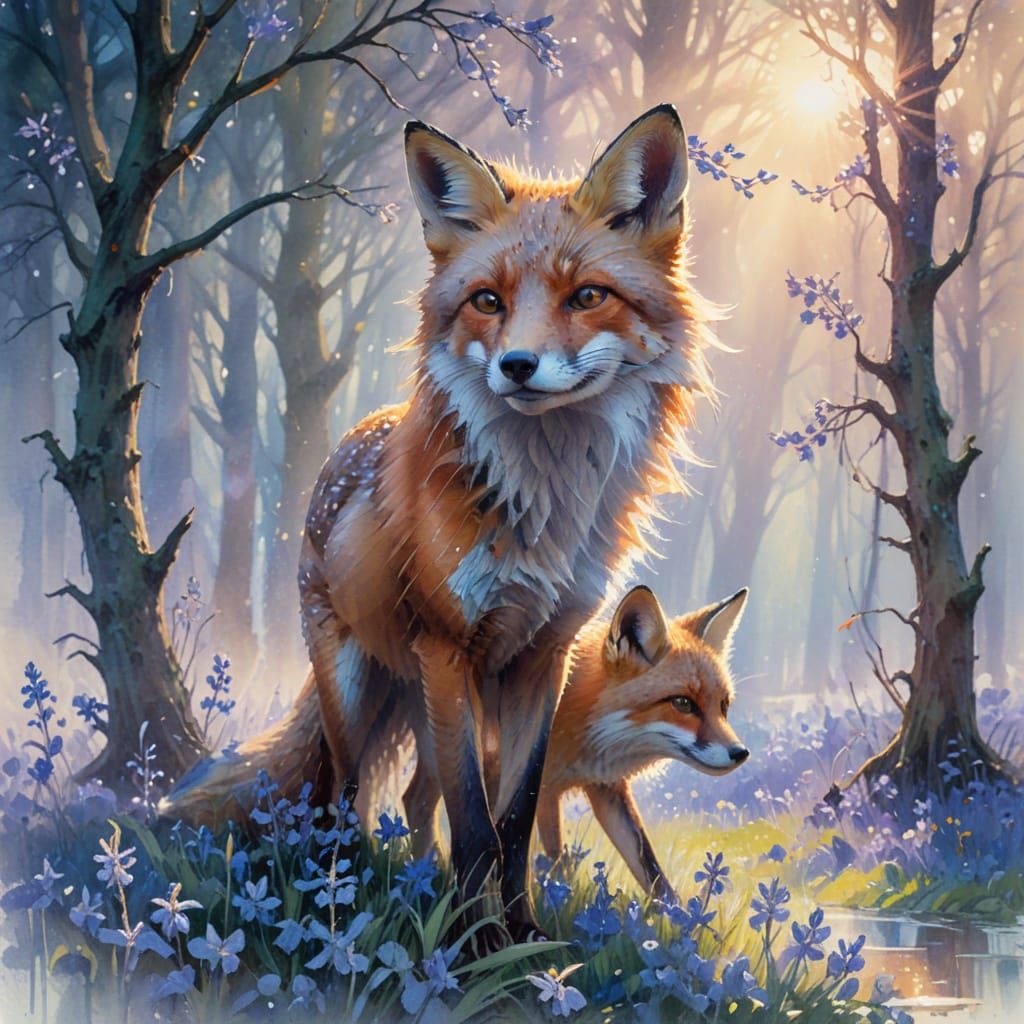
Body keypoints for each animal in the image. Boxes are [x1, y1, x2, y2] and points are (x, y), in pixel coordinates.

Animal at [164, 103, 717, 941]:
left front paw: (522, 939)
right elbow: (476, 824)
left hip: (424, 700)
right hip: (358, 686)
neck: (538, 508)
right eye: (487, 301)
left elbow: (514, 819)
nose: (517, 366)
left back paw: (417, 890)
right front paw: (473, 943)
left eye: (587, 296)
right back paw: (342, 902)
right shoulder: (449, 646)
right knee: (343, 797)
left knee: (411, 796)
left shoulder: (542, 657)